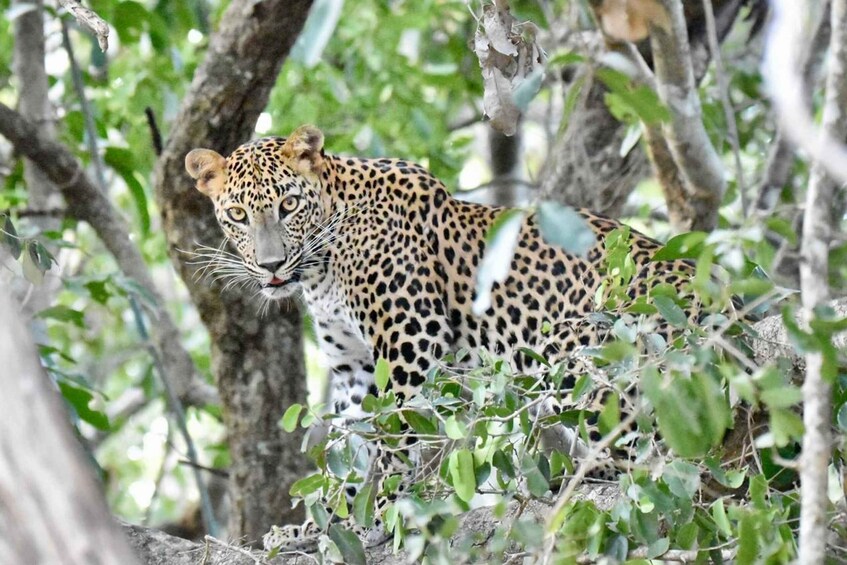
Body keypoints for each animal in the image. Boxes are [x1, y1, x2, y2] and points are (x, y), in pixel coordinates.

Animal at [185, 124, 700, 551]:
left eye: (288, 205)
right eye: (237, 214)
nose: (271, 266)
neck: (321, 266)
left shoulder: (409, 338)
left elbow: (395, 436)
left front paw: (383, 513)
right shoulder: (355, 370)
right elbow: (351, 447)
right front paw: (325, 523)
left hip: (589, 359)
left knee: (650, 460)